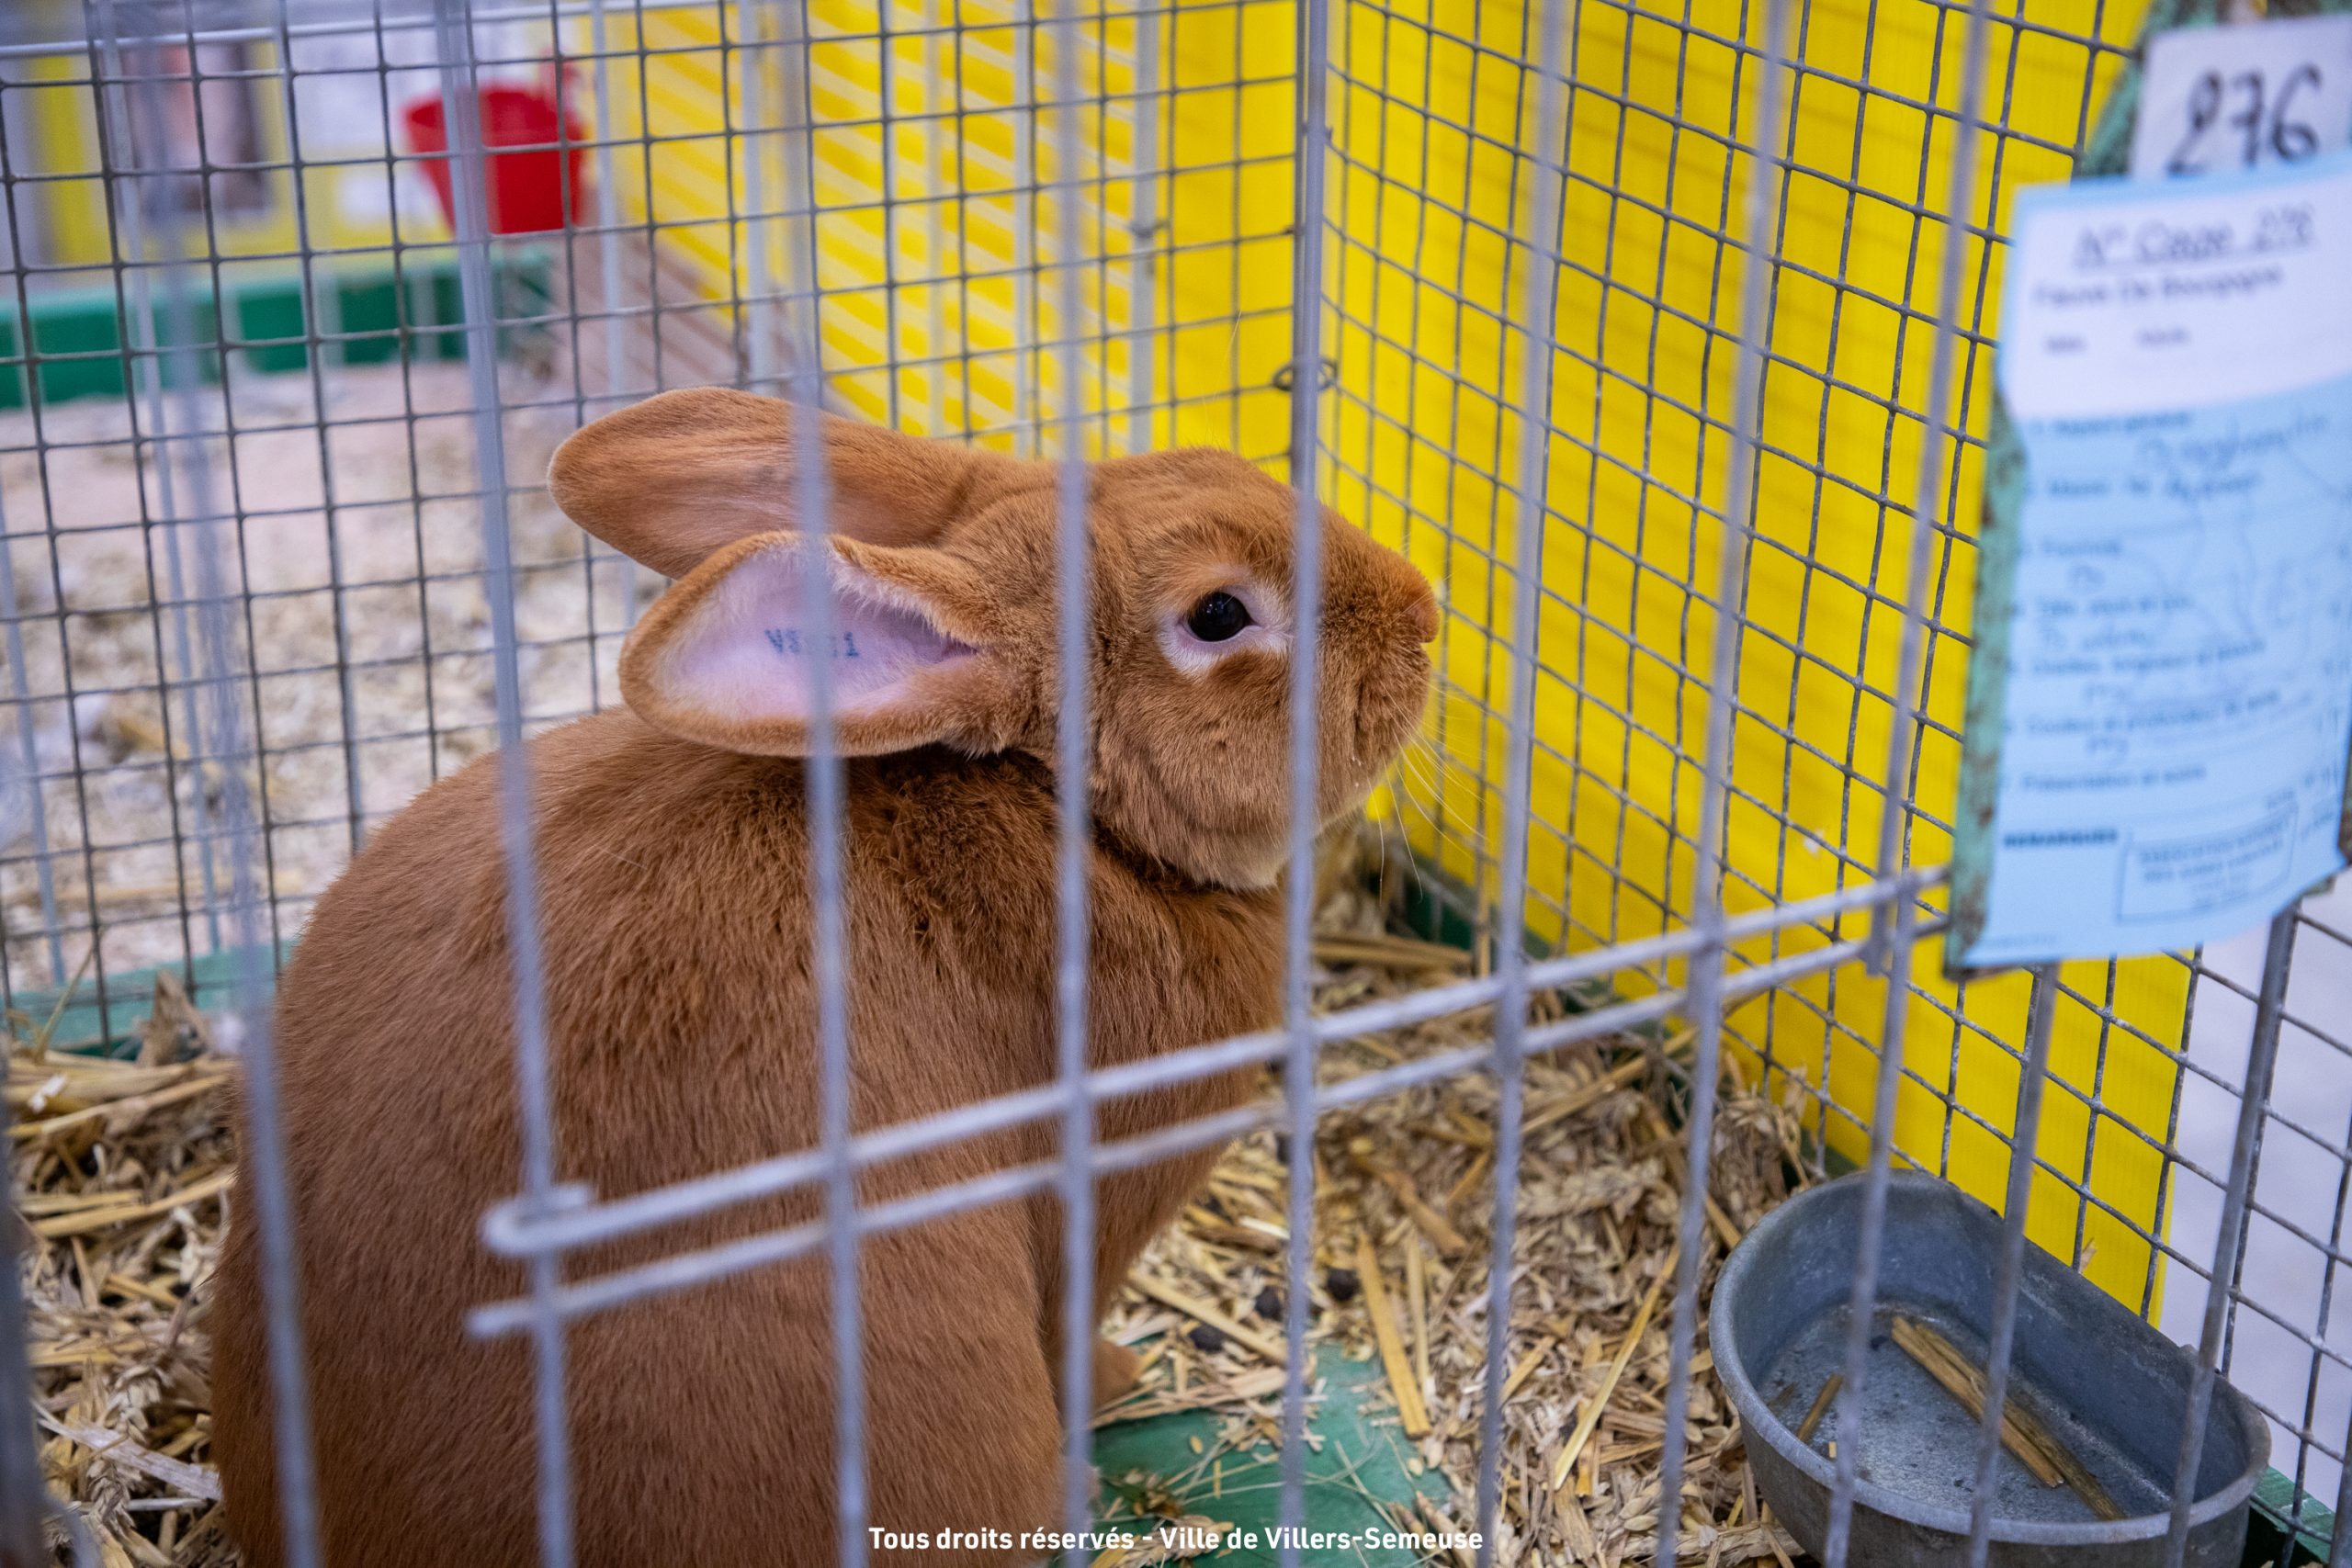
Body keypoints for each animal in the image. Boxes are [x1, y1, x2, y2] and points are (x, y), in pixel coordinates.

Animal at [211, 387, 1439, 1568]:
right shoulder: (1100, 1202)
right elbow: (1070, 1323)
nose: (1426, 613)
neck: (1072, 810)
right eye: (1219, 615)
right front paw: (1118, 1383)